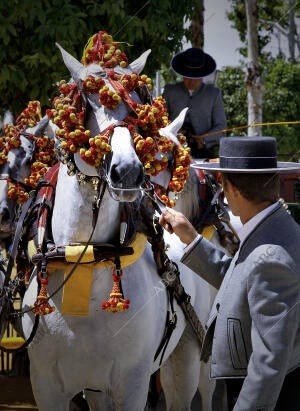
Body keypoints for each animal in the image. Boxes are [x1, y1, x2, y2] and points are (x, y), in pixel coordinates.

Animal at [19, 42, 211, 411]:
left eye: (138, 106)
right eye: (88, 101)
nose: (129, 171)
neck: (85, 258)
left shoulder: (132, 386)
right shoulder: (46, 386)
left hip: (187, 362)